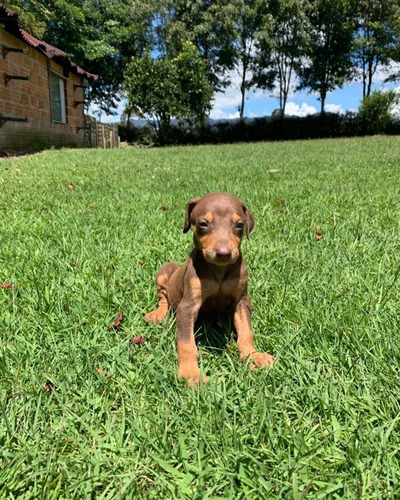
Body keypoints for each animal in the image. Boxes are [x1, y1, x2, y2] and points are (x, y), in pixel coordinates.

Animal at [145, 192, 274, 386]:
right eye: (203, 224)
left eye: (239, 225)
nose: (223, 254)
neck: (219, 271)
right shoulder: (187, 306)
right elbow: (186, 343)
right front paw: (191, 374)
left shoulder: (242, 300)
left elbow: (246, 330)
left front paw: (253, 356)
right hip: (165, 271)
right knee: (163, 297)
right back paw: (157, 314)